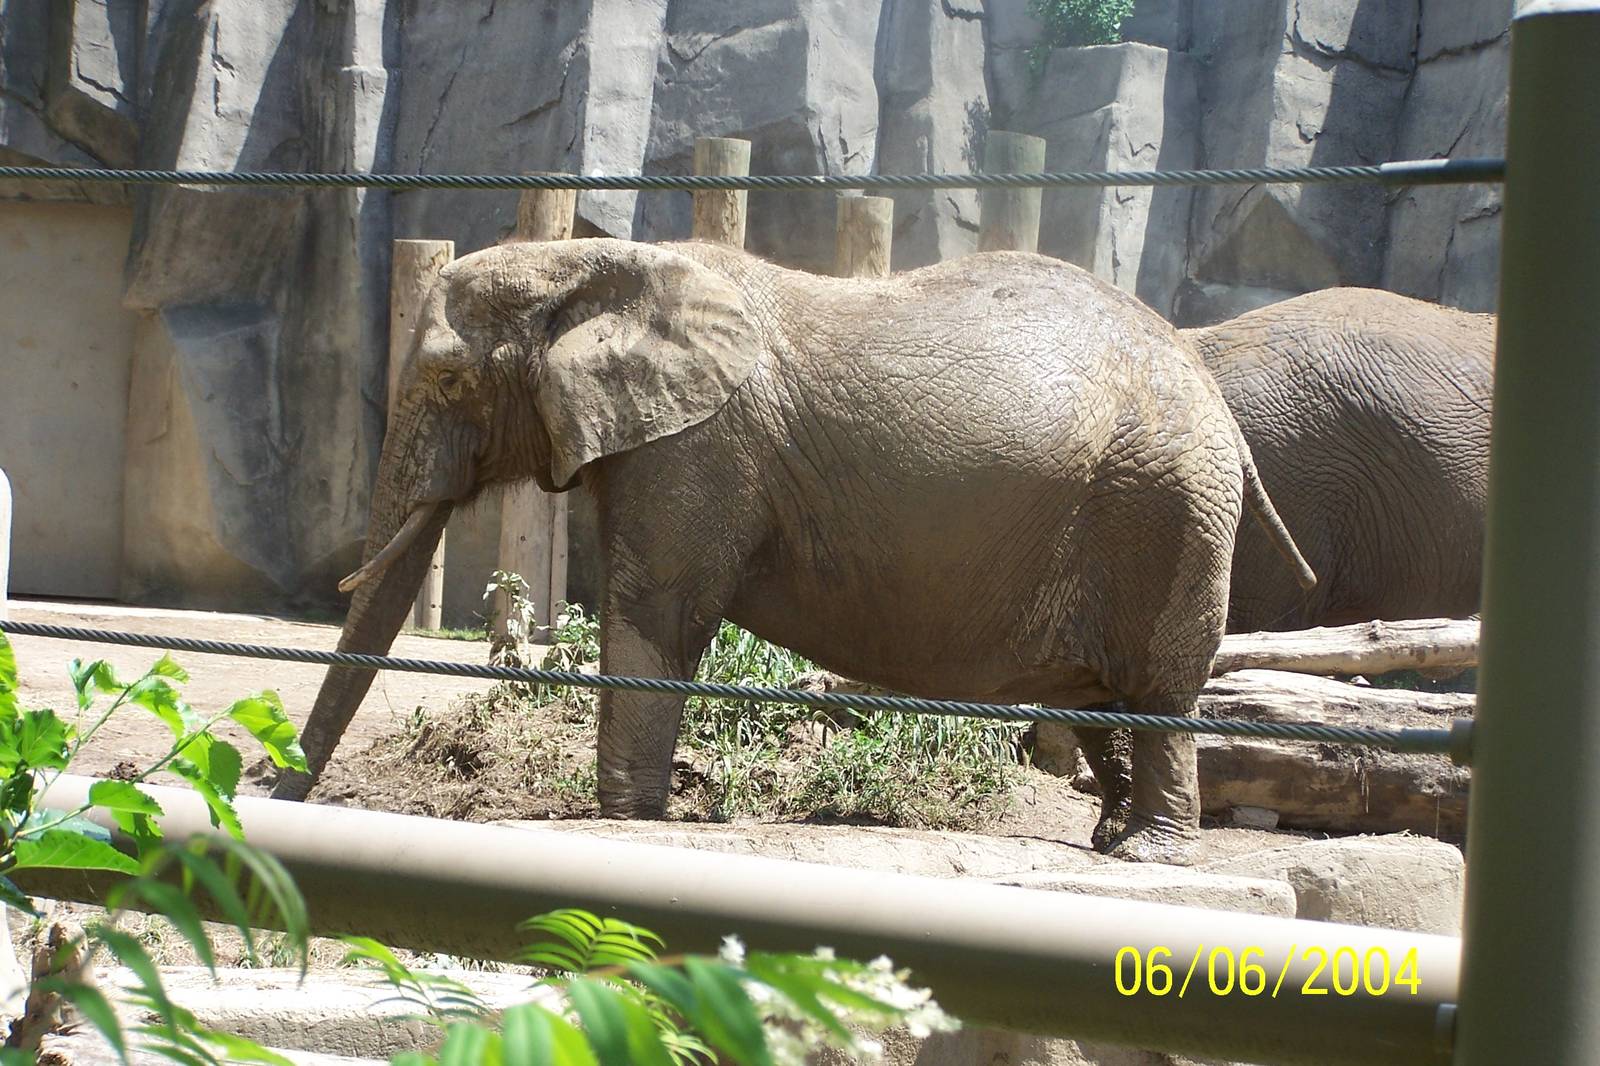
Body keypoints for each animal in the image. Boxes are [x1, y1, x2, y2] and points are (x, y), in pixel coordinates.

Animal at [269, 237, 1314, 863]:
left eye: (448, 381)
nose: (276, 790)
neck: (593, 264)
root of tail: (1207, 389)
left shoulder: (699, 444)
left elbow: (657, 610)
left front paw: (620, 820)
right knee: (1101, 699)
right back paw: (1105, 835)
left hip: (1164, 510)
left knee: (1160, 691)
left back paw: (1146, 850)